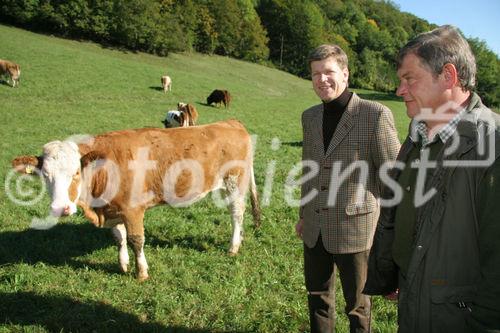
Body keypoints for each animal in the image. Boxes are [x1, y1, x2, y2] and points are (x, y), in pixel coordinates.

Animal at [11, 119, 262, 280]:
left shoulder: (133, 210)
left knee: (237, 213)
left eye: (75, 173)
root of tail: (231, 122)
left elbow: (136, 240)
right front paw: (123, 264)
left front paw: (141, 272)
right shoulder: (114, 210)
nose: (61, 208)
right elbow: (119, 238)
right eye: (45, 176)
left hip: (234, 182)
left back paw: (233, 246)